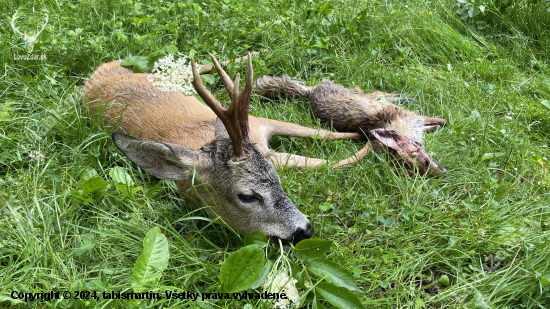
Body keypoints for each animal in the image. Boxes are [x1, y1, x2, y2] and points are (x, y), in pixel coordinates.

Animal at [82, 54, 374, 244]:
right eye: (247, 196)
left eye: (278, 181)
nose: (306, 230)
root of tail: (94, 77)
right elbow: (326, 160)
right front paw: (369, 140)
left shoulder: (259, 123)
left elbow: (323, 134)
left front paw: (363, 133)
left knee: (185, 64)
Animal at [254, 75, 448, 176]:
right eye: (420, 168)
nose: (442, 173)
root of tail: (310, 94)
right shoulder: (408, 117)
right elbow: (427, 121)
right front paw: (439, 123)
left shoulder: (409, 117)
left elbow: (428, 120)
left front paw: (439, 123)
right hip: (359, 95)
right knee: (374, 93)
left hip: (358, 94)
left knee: (374, 92)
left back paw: (404, 96)